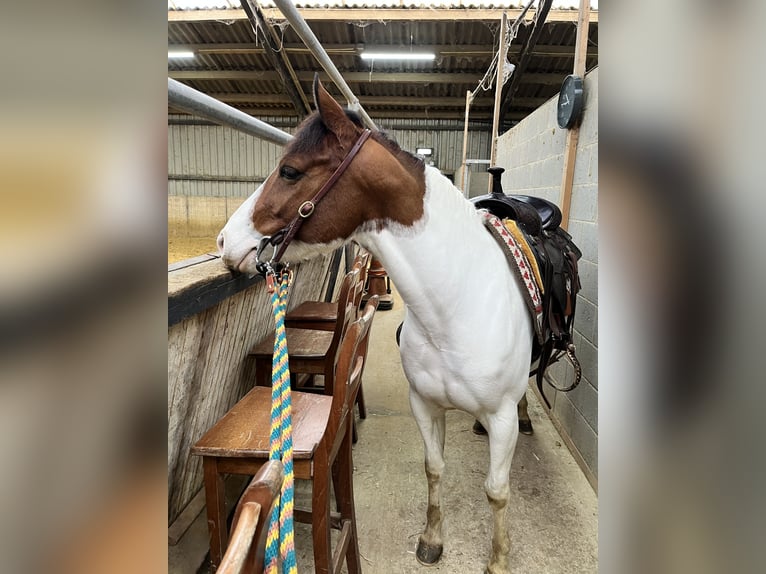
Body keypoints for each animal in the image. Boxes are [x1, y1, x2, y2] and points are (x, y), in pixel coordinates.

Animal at [218, 77, 536, 574]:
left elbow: (497, 492)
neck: (455, 312)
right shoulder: (425, 404)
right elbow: (434, 468)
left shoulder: (499, 417)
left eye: (290, 171)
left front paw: (499, 559)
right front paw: (431, 539)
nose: (224, 242)